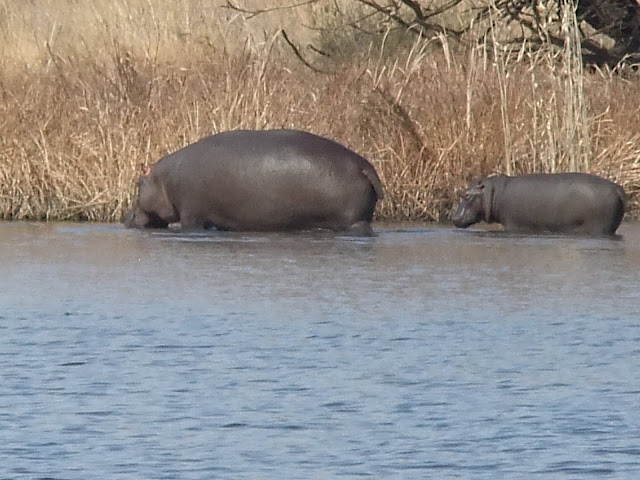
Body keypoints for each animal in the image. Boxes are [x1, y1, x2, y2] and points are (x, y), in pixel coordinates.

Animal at [124, 129, 384, 235]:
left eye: (138, 183)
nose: (128, 217)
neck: (163, 179)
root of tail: (364, 165)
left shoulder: (192, 214)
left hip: (354, 221)